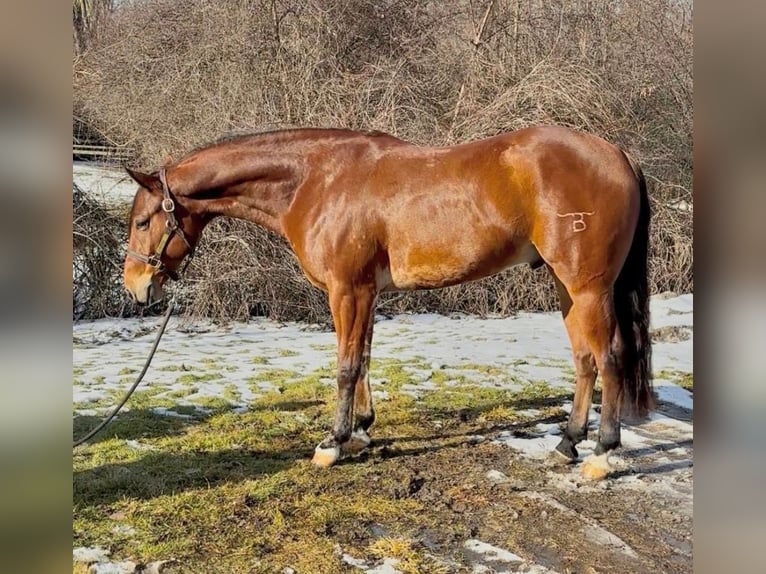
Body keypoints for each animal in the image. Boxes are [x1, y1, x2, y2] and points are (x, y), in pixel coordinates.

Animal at [123, 125, 652, 480]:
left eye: (145, 221)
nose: (135, 287)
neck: (317, 180)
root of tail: (619, 154)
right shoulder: (366, 293)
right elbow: (364, 359)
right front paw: (361, 431)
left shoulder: (348, 290)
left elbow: (346, 366)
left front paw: (333, 443)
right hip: (567, 287)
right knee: (584, 361)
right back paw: (567, 443)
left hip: (588, 288)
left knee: (610, 358)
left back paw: (602, 454)